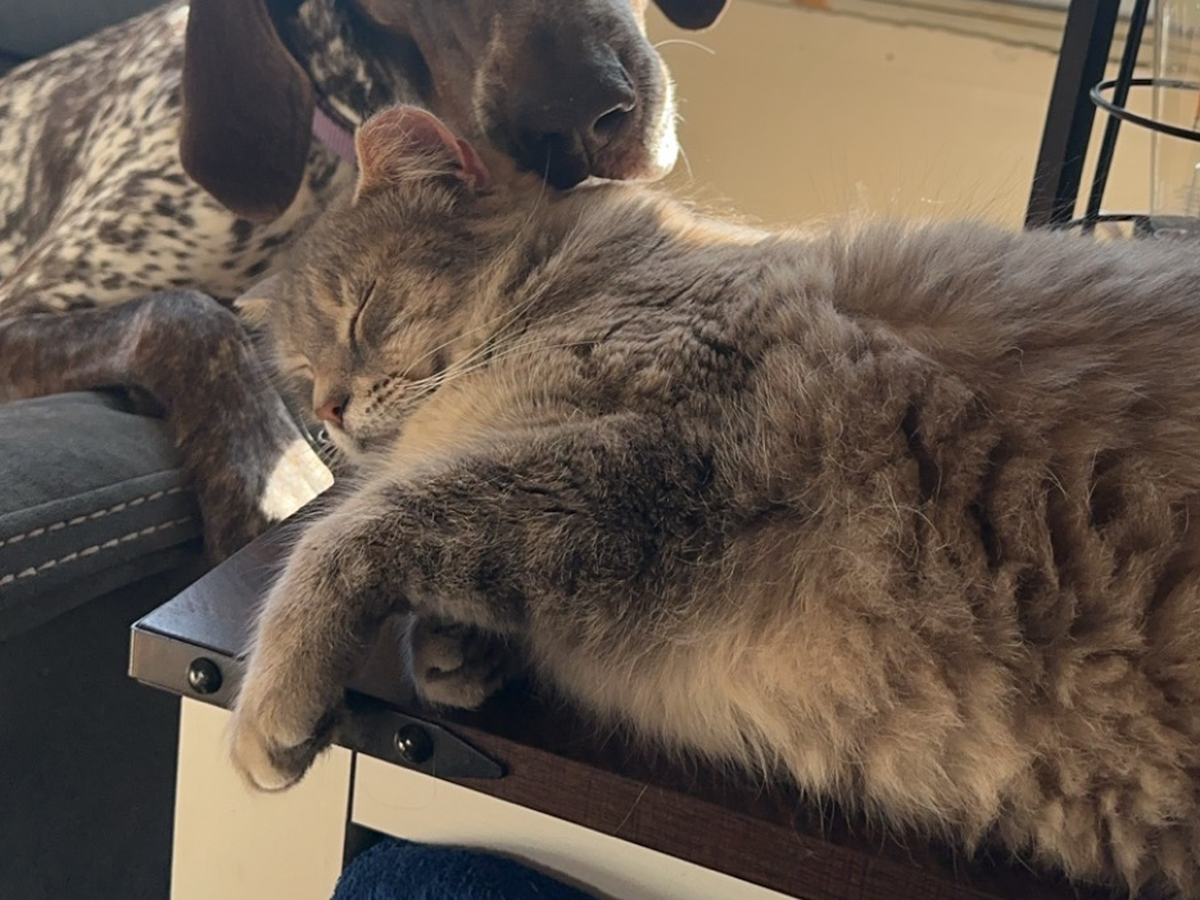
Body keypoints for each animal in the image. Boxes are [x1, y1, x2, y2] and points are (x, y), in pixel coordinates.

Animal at [231, 104, 1200, 898]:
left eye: (364, 312)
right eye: (301, 372)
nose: (328, 409)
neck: (570, 287)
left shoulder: (662, 459)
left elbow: (351, 535)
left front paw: (271, 708)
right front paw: (457, 648)